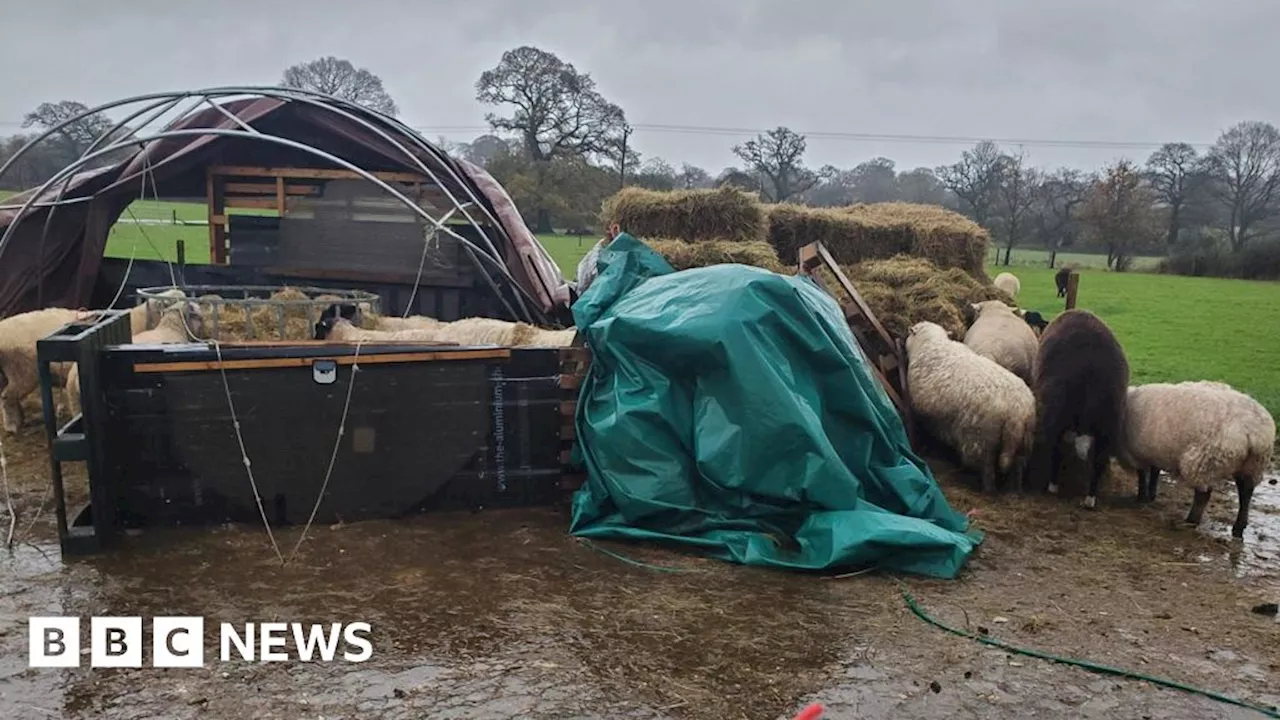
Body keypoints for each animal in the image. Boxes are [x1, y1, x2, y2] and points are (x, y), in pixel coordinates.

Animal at [901, 322, 1039, 489]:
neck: (931, 342)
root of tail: (1017, 413)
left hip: (981, 440)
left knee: (987, 470)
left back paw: (986, 488)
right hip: (1024, 442)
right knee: (1017, 468)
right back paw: (1014, 490)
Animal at [1029, 307, 1131, 504]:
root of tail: (1089, 369)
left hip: (1055, 411)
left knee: (1056, 450)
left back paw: (1053, 487)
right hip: (1110, 421)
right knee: (1099, 460)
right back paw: (1090, 500)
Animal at [1116, 379, 1274, 535]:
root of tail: (1254, 431)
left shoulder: (1135, 454)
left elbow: (1142, 476)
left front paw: (1141, 498)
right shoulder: (1153, 453)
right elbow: (1154, 473)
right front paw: (1151, 495)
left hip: (1205, 461)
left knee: (1203, 494)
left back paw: (1191, 520)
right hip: (1252, 465)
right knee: (1246, 492)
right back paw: (1239, 526)